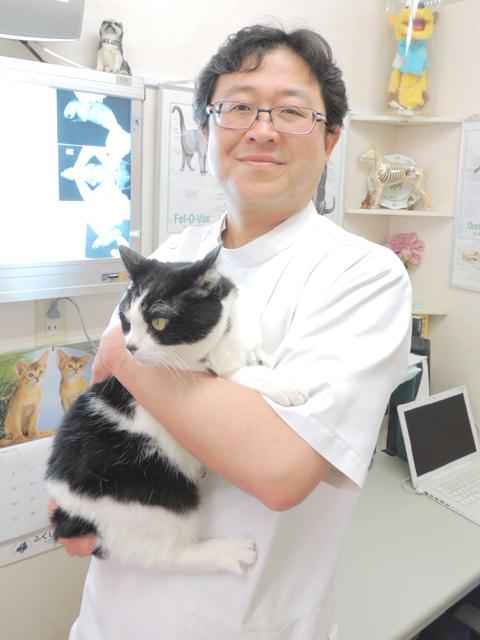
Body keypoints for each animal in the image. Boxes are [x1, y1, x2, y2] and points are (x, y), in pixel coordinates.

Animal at [47, 246, 306, 576]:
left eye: (158, 323)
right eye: (126, 319)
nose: (129, 347)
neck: (224, 339)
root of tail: (70, 514)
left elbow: (255, 354)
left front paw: (265, 359)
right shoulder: (205, 372)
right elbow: (240, 373)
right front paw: (285, 385)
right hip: (157, 492)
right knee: (165, 555)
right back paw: (231, 552)